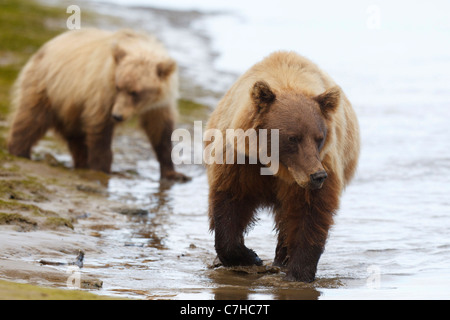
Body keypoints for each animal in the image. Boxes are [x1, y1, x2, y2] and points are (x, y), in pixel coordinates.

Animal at [8, 28, 188, 181]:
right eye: (119, 86)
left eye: (135, 92)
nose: (117, 115)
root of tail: (42, 48)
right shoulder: (102, 92)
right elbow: (100, 129)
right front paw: (102, 168)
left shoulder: (158, 105)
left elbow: (160, 130)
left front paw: (173, 173)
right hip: (47, 87)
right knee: (30, 119)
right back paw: (19, 151)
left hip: (71, 107)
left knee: (76, 137)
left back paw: (82, 162)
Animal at [206, 50, 360, 282]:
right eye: (293, 137)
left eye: (319, 137)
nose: (318, 176)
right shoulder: (240, 162)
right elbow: (230, 200)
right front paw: (249, 257)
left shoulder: (320, 166)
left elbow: (310, 212)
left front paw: (298, 273)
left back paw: (281, 258)